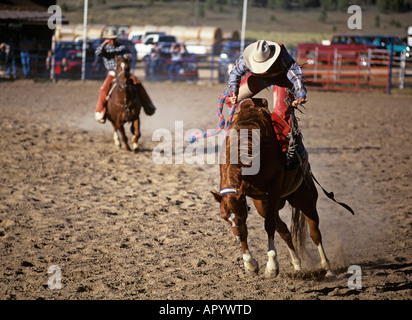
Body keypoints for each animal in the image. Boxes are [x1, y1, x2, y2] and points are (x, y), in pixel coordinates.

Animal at [209, 97, 334, 278]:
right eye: (225, 218)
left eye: (240, 215)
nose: (236, 237)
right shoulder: (252, 198)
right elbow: (253, 229)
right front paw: (250, 264)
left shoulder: (273, 190)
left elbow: (268, 225)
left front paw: (272, 266)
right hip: (265, 204)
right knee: (284, 231)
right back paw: (297, 266)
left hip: (305, 198)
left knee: (314, 232)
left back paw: (328, 269)